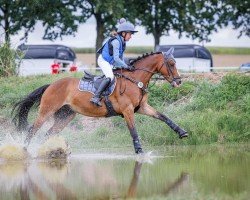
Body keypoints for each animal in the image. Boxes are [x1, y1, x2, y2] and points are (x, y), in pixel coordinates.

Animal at [11, 47, 188, 154]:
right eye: (171, 63)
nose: (179, 81)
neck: (134, 80)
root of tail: (51, 85)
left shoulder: (142, 107)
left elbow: (163, 117)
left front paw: (182, 132)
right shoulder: (128, 110)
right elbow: (133, 131)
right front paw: (140, 152)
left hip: (66, 115)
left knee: (49, 133)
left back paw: (52, 151)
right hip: (47, 110)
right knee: (33, 130)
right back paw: (25, 151)